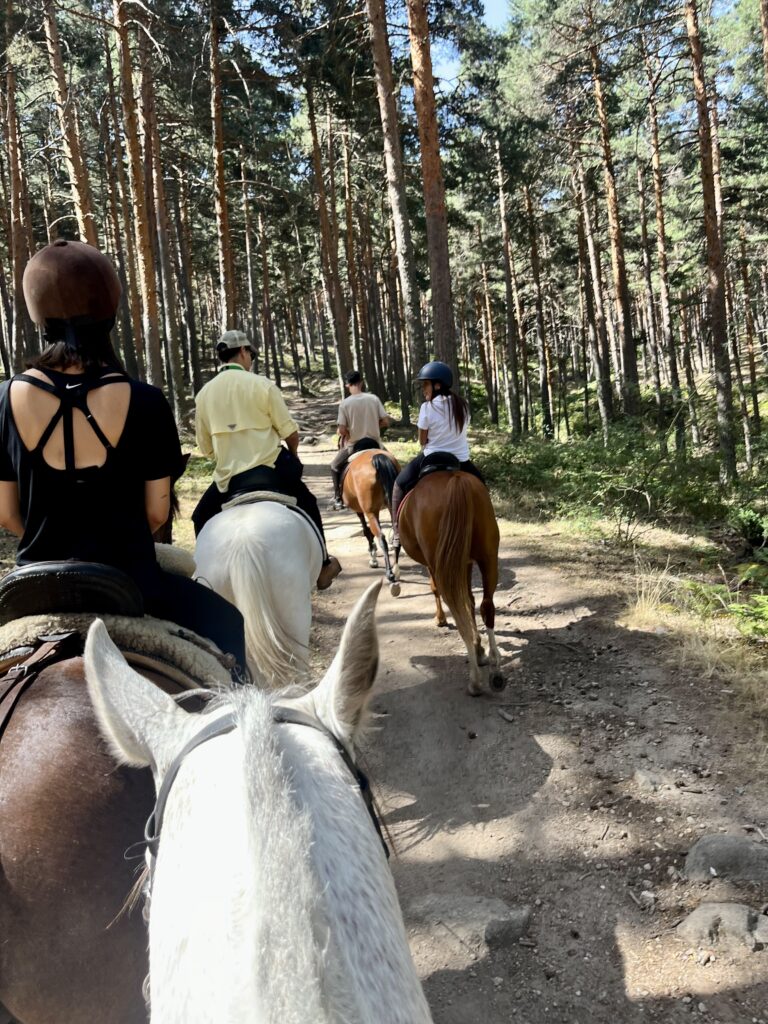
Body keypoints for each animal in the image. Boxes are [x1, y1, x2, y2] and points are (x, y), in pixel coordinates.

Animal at [342, 446, 403, 593]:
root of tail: (377, 457)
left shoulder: (361, 511)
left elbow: (366, 531)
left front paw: (373, 556)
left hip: (370, 512)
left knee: (381, 537)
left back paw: (390, 574)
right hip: (391, 506)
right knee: (397, 535)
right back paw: (395, 569)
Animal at [397, 468, 505, 696]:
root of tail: (456, 479)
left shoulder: (435, 566)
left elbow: (435, 589)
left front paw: (440, 619)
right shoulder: (465, 563)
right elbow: (470, 600)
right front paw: (479, 648)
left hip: (442, 564)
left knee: (457, 609)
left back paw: (475, 681)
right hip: (488, 557)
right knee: (486, 606)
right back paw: (494, 666)